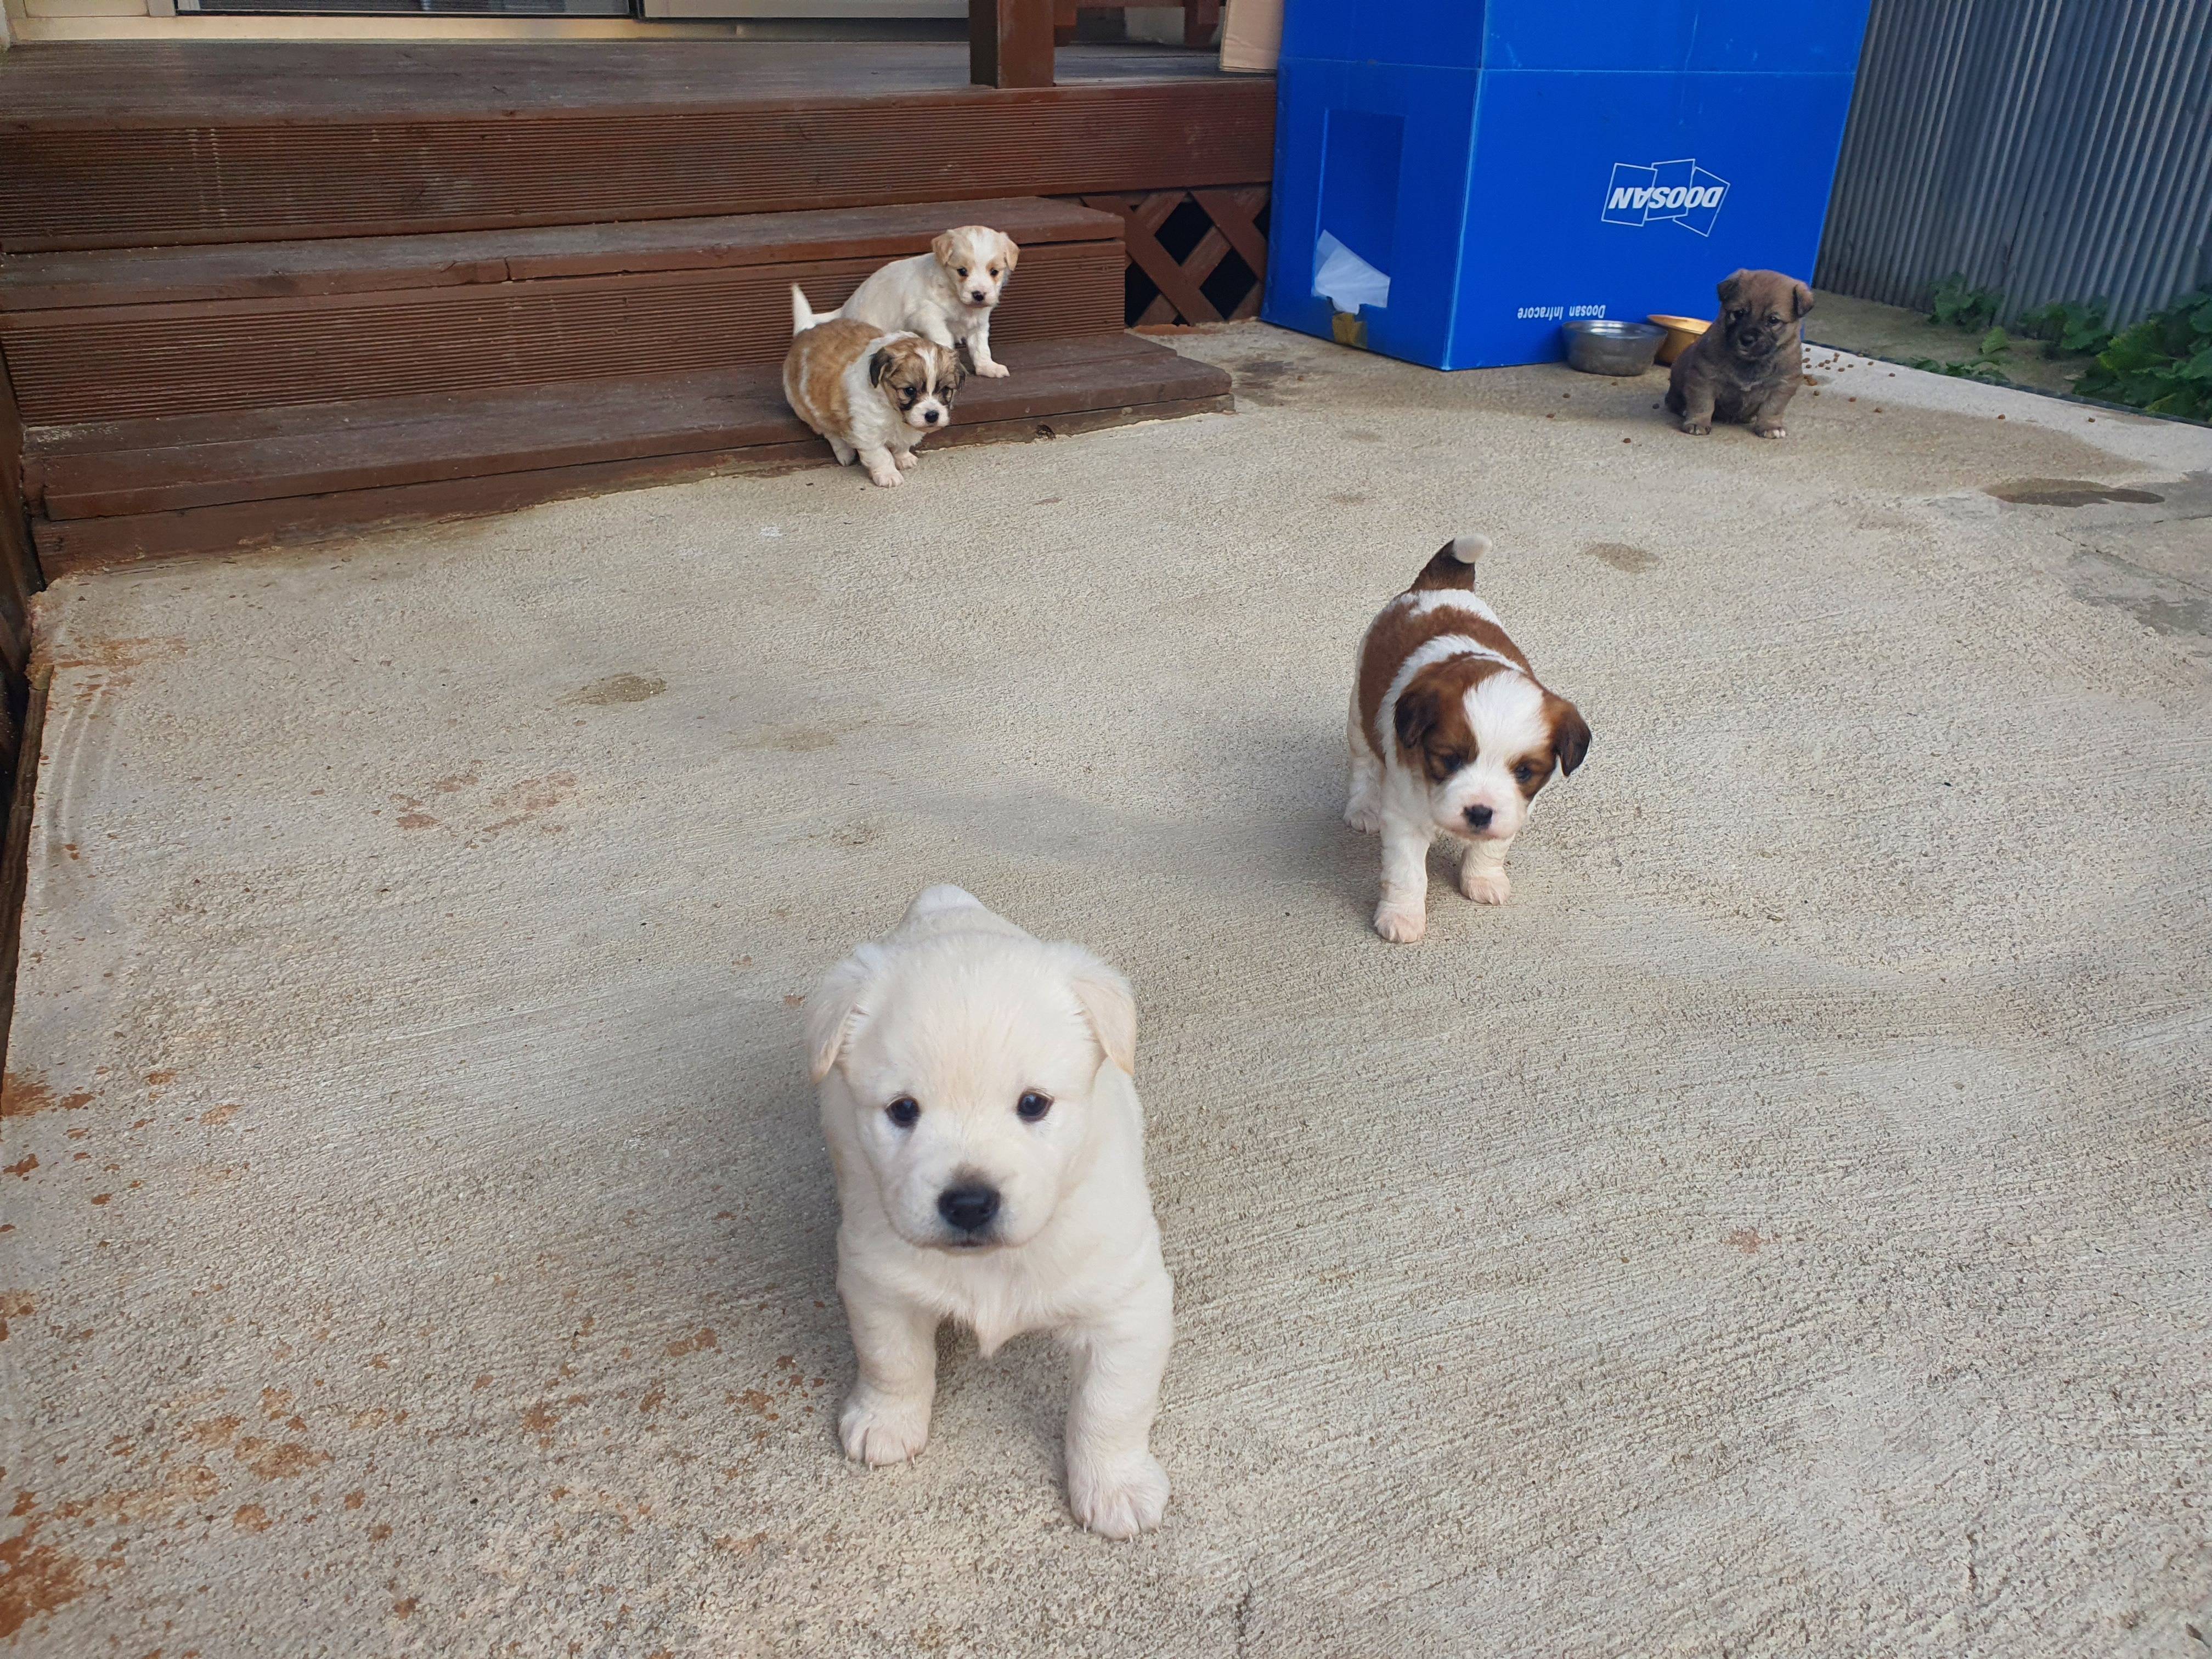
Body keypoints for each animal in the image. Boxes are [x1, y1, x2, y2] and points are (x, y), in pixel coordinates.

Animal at [800, 889, 1177, 1539]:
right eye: (903, 1110)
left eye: (1033, 1104)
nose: (970, 1203)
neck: (996, 1263)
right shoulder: (878, 1280)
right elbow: (892, 1360)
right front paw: (886, 1421)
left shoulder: (1128, 1306)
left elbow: (1110, 1405)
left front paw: (1116, 1486)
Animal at [827, 228, 1022, 380]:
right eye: (962, 271)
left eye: (994, 272)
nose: (979, 295)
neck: (956, 296)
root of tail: (843, 310)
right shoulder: (928, 316)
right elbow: (944, 338)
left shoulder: (979, 324)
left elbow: (981, 347)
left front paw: (988, 367)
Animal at [1345, 535, 1593, 942]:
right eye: (1451, 760)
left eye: (1524, 772)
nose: (1479, 812)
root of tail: (1441, 587)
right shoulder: (1405, 817)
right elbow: (1407, 874)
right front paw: (1402, 917)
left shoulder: (1514, 807)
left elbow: (1492, 847)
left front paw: (1483, 879)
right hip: (1359, 712)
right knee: (1364, 764)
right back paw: (1363, 808)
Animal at [1663, 266, 1814, 438]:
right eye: (1739, 313)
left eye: (1773, 320)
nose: (1747, 339)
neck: (1751, 361)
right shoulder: (1704, 377)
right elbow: (1702, 404)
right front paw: (1697, 423)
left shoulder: (1782, 385)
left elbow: (1772, 409)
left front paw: (1770, 427)